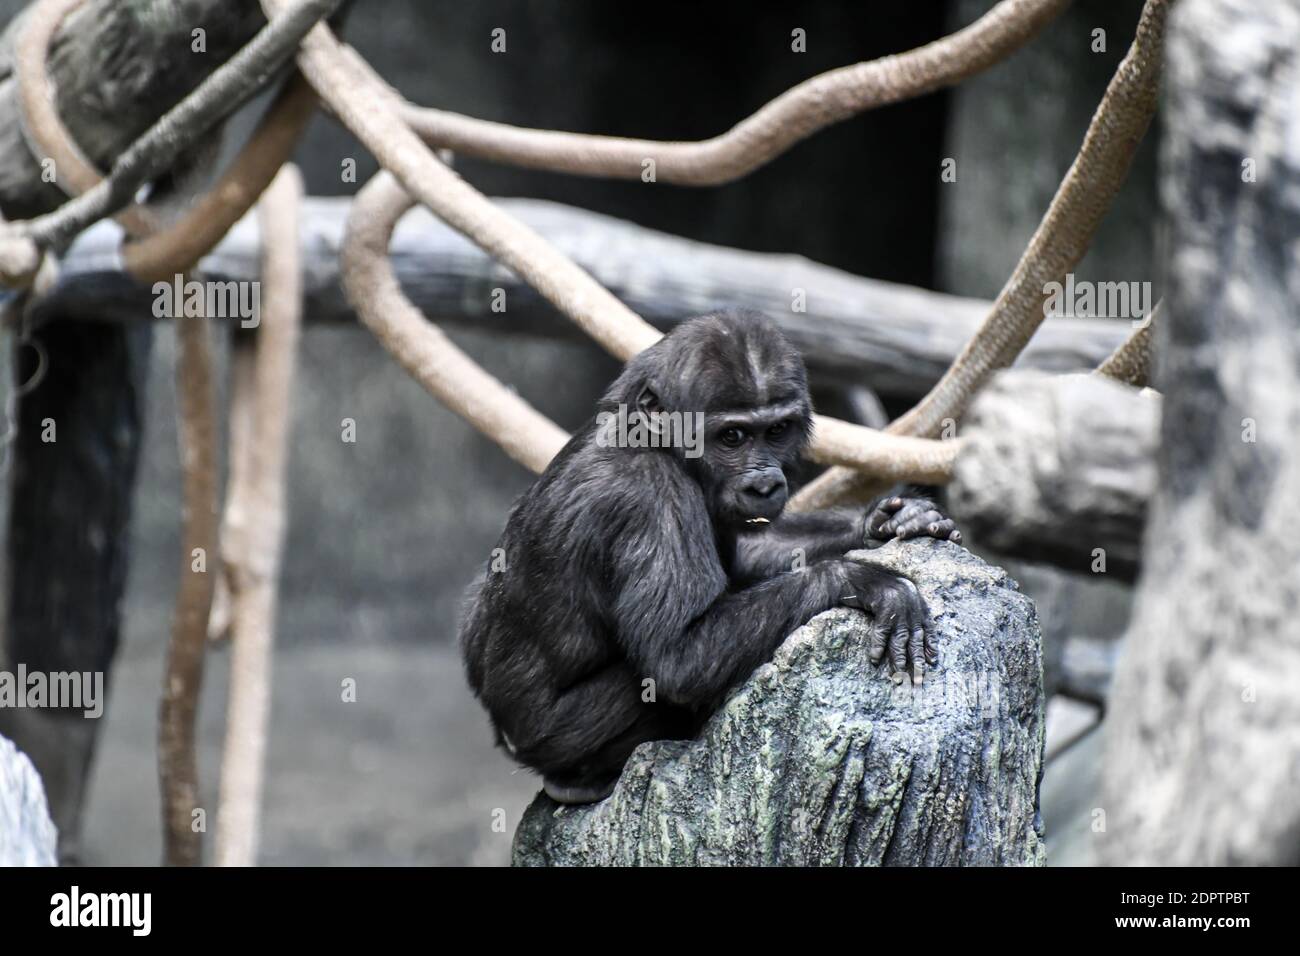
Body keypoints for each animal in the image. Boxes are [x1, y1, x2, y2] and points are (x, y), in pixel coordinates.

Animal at [462, 310, 961, 806]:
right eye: (732, 436)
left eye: (776, 431)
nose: (763, 482)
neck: (659, 444)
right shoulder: (650, 501)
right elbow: (678, 658)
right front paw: (864, 580)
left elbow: (744, 557)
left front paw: (887, 520)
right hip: (554, 738)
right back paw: (579, 780)